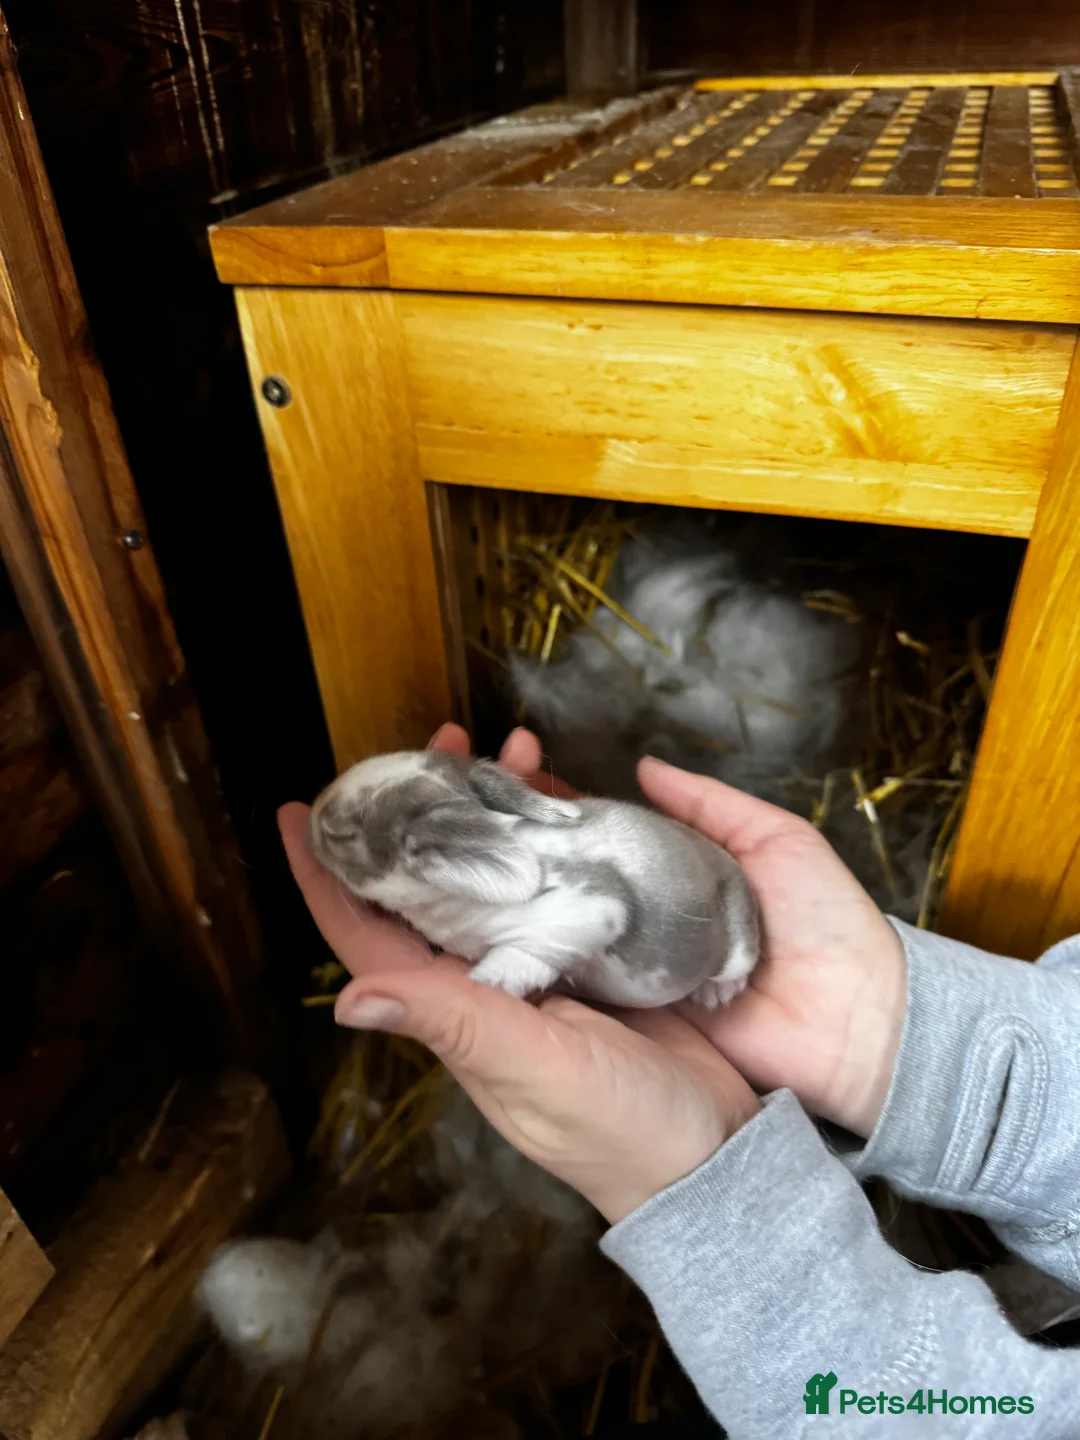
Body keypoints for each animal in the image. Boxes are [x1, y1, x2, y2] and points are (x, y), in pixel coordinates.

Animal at [308, 750, 759, 1009]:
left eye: (340, 835)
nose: (312, 814)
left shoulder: (594, 907)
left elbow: (536, 950)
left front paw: (488, 979)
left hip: (738, 939)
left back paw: (715, 993)